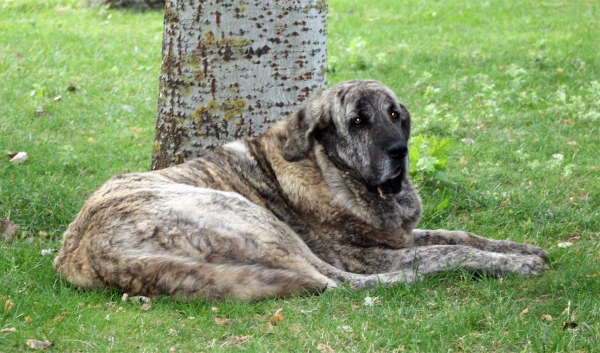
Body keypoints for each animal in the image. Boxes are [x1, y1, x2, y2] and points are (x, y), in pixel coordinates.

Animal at [56, 80, 548, 300]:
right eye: (358, 121)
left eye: (395, 114)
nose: (399, 151)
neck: (331, 169)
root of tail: (90, 253)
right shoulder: (372, 255)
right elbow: (447, 250)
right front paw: (514, 264)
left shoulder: (399, 234)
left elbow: (459, 234)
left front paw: (521, 248)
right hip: (251, 217)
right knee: (334, 282)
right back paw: (407, 280)